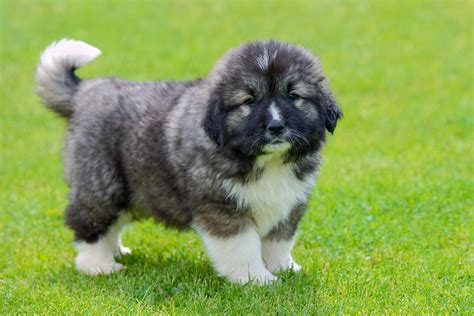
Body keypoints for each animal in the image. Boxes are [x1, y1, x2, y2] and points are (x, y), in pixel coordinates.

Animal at [36, 39, 340, 284]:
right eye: (249, 101)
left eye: (293, 95)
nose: (276, 127)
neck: (265, 161)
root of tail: (86, 91)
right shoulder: (220, 207)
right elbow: (243, 246)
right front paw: (257, 279)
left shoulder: (288, 202)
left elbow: (279, 242)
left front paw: (285, 269)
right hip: (101, 181)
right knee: (88, 221)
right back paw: (98, 265)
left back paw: (115, 251)